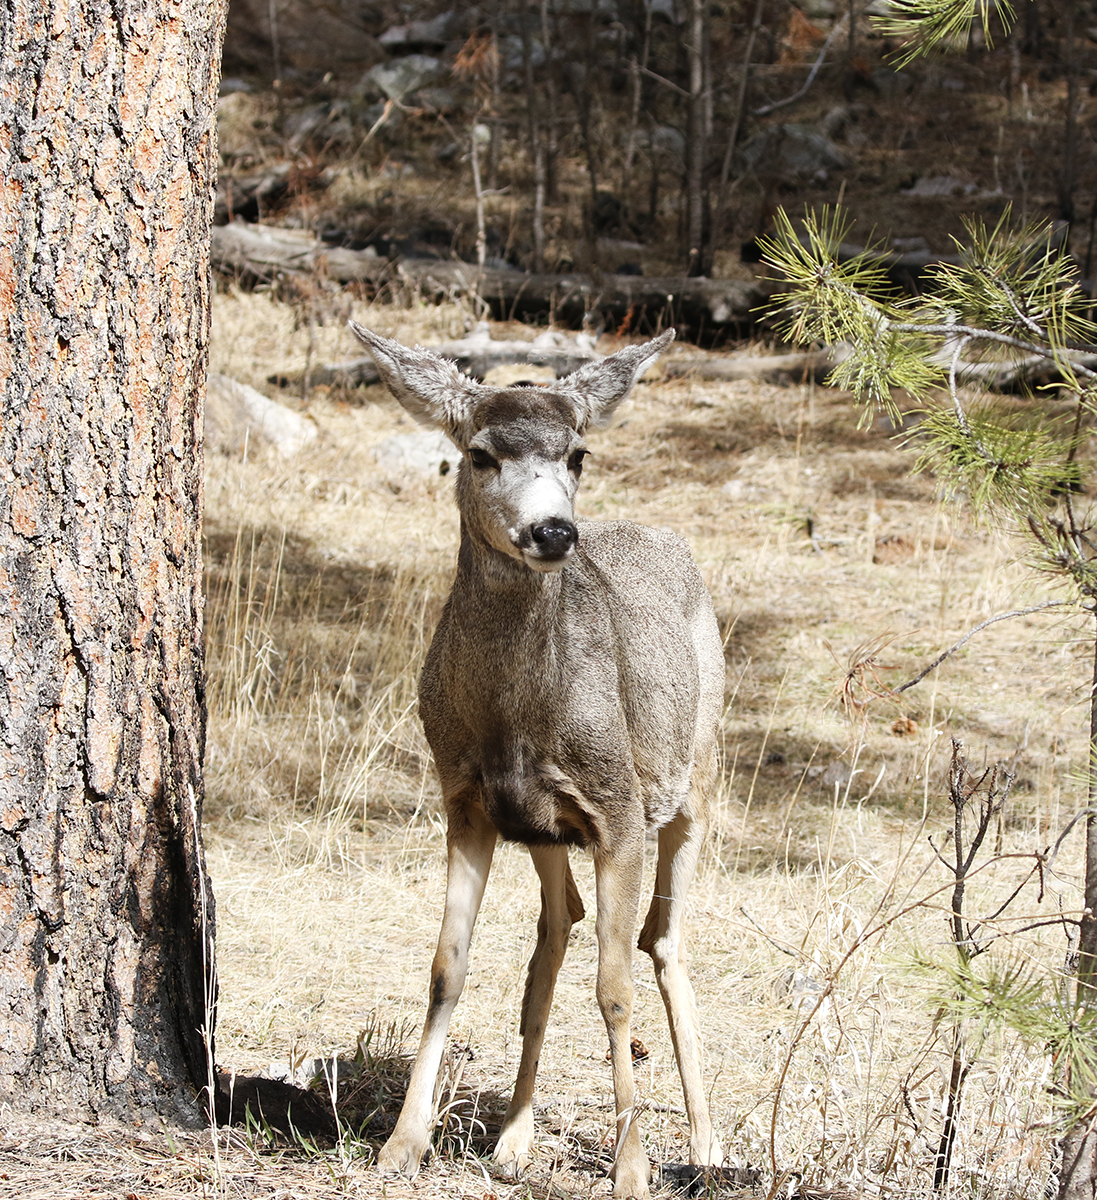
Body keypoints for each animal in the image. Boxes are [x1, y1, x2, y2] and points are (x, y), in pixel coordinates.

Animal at [350, 324, 724, 1195]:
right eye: (480, 453)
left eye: (578, 453)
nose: (554, 531)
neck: (514, 719)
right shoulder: (464, 801)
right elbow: (447, 967)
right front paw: (403, 1142)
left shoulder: (618, 807)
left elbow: (614, 988)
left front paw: (631, 1169)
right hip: (547, 829)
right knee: (556, 932)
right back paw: (514, 1140)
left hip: (696, 777)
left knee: (661, 942)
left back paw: (705, 1145)